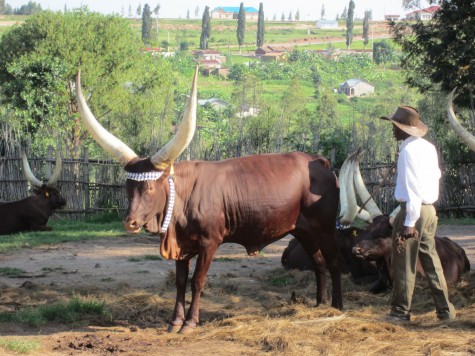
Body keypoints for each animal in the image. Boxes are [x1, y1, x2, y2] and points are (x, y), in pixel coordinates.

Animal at [75, 67, 342, 334]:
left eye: (150, 187)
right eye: (127, 187)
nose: (129, 222)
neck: (182, 199)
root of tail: (320, 162)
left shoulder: (209, 242)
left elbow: (197, 281)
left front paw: (190, 323)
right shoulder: (181, 245)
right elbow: (180, 281)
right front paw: (174, 321)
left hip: (325, 228)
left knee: (333, 261)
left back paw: (337, 306)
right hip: (303, 230)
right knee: (318, 263)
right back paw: (320, 305)